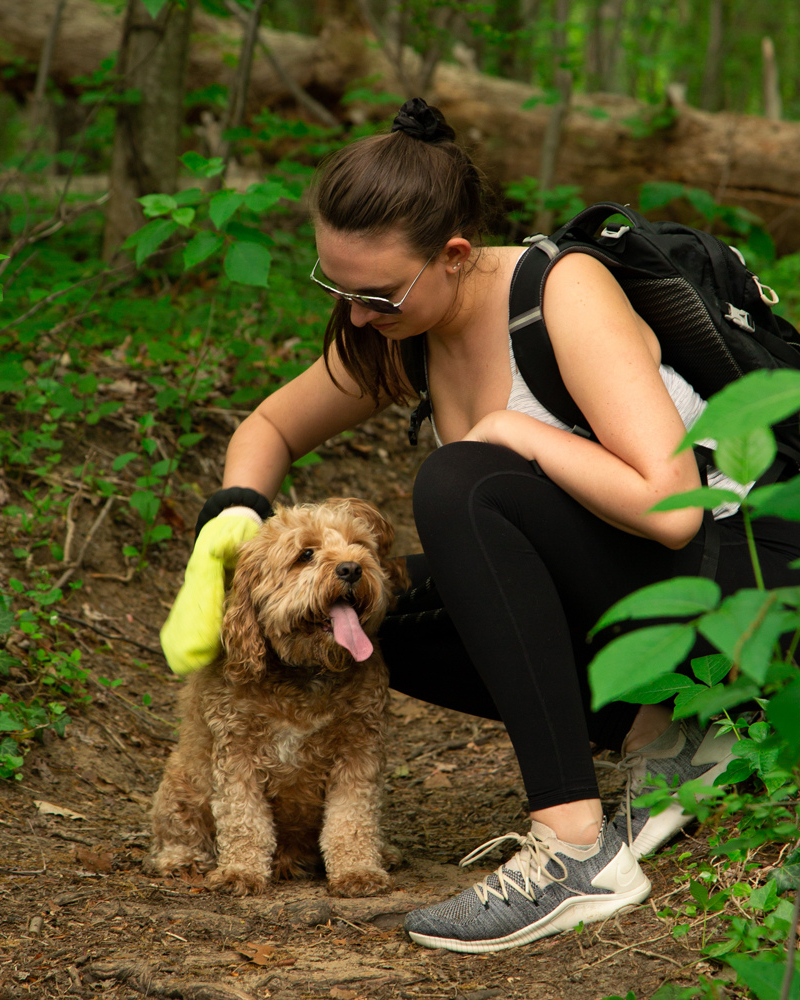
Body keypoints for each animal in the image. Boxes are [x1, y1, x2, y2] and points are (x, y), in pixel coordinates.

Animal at [146, 500, 406, 900]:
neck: (304, 671)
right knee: (180, 828)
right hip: (180, 783)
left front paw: (358, 870)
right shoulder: (236, 753)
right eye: (306, 554)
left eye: (360, 544)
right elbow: (243, 819)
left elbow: (352, 818)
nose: (351, 568)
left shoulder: (359, 750)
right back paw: (183, 859)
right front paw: (240, 871)